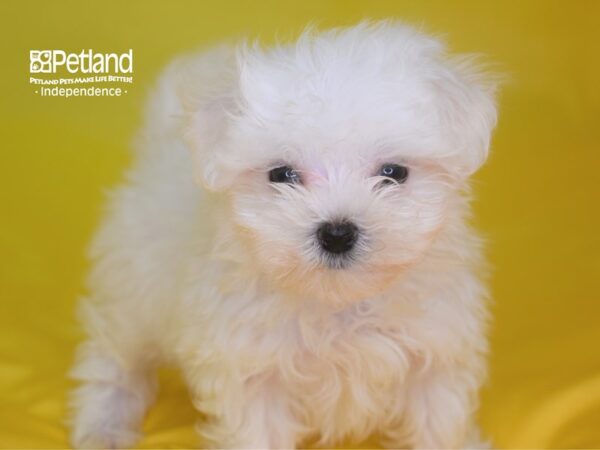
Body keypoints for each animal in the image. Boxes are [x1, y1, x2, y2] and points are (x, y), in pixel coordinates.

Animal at [69, 19, 496, 448]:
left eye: (393, 173)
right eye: (282, 174)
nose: (337, 233)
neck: (338, 304)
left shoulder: (437, 350)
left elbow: (439, 421)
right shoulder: (250, 368)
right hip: (135, 291)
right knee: (113, 355)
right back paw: (103, 423)